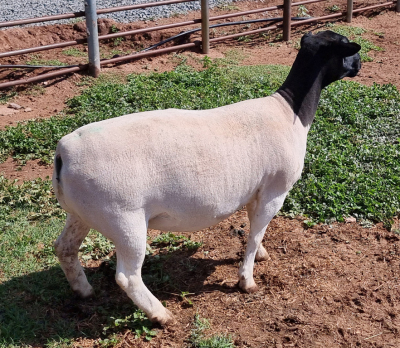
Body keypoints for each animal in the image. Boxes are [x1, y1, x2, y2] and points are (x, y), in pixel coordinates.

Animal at [51, 30, 360, 326]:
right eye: (347, 47)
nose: (359, 65)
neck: (290, 110)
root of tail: (63, 154)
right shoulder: (275, 190)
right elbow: (255, 232)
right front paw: (247, 280)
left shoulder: (256, 190)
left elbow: (255, 228)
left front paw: (261, 254)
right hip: (123, 218)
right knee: (127, 277)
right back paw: (161, 315)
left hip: (83, 211)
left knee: (64, 248)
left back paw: (84, 290)